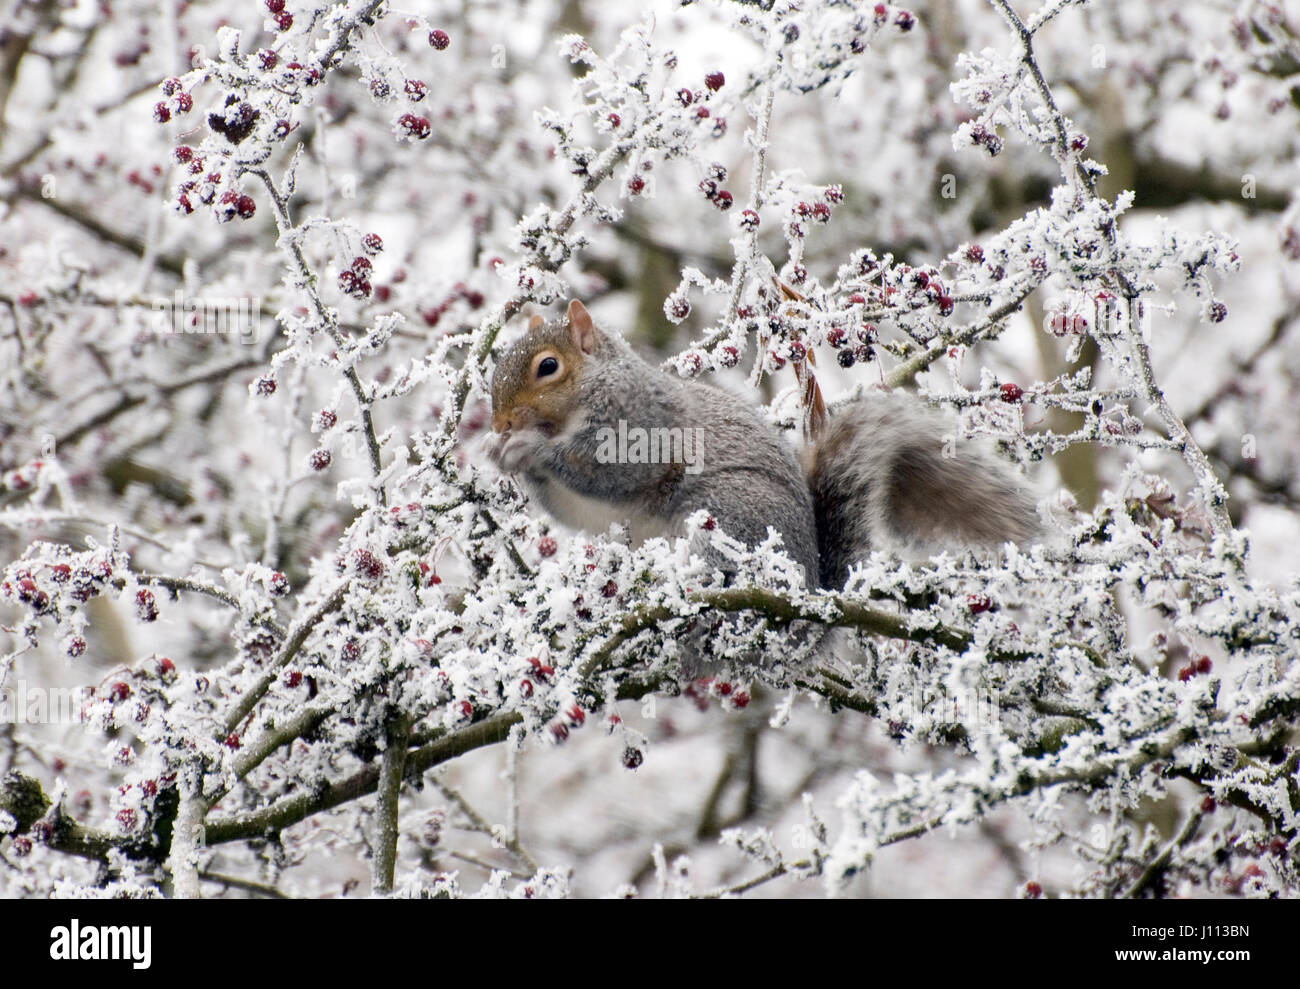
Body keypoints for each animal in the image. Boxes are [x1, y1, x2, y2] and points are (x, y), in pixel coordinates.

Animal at [483, 298, 1040, 587]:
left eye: (548, 367)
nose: (502, 422)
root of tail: (811, 586)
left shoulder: (643, 421)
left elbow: (610, 470)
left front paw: (530, 451)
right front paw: (498, 453)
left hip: (730, 511)